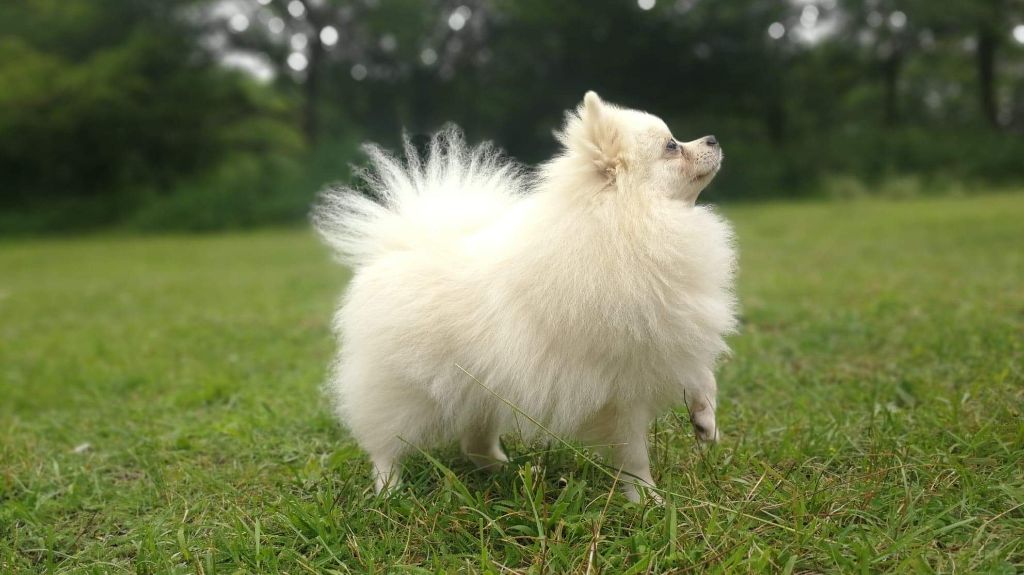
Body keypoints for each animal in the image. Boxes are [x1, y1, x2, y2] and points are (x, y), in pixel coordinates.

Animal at [311, 91, 737, 499]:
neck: (631, 223)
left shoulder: (673, 335)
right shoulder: (617, 387)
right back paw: (388, 491)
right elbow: (632, 453)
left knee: (473, 442)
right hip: (404, 392)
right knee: (386, 445)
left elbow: (704, 376)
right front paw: (648, 499)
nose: (714, 138)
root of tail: (402, 247)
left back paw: (502, 470)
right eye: (671, 146)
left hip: (479, 389)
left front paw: (706, 422)